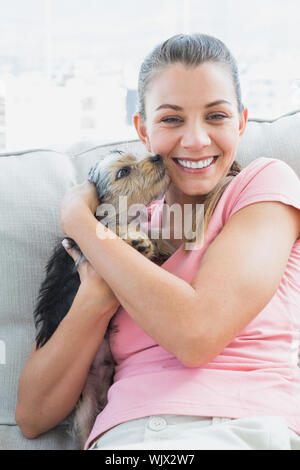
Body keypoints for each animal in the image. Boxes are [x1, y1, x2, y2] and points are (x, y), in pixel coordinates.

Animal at [32, 151, 175, 448]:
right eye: (123, 172)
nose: (157, 155)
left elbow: (152, 234)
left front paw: (159, 244)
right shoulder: (89, 245)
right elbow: (111, 230)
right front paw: (135, 239)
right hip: (84, 403)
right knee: (84, 429)